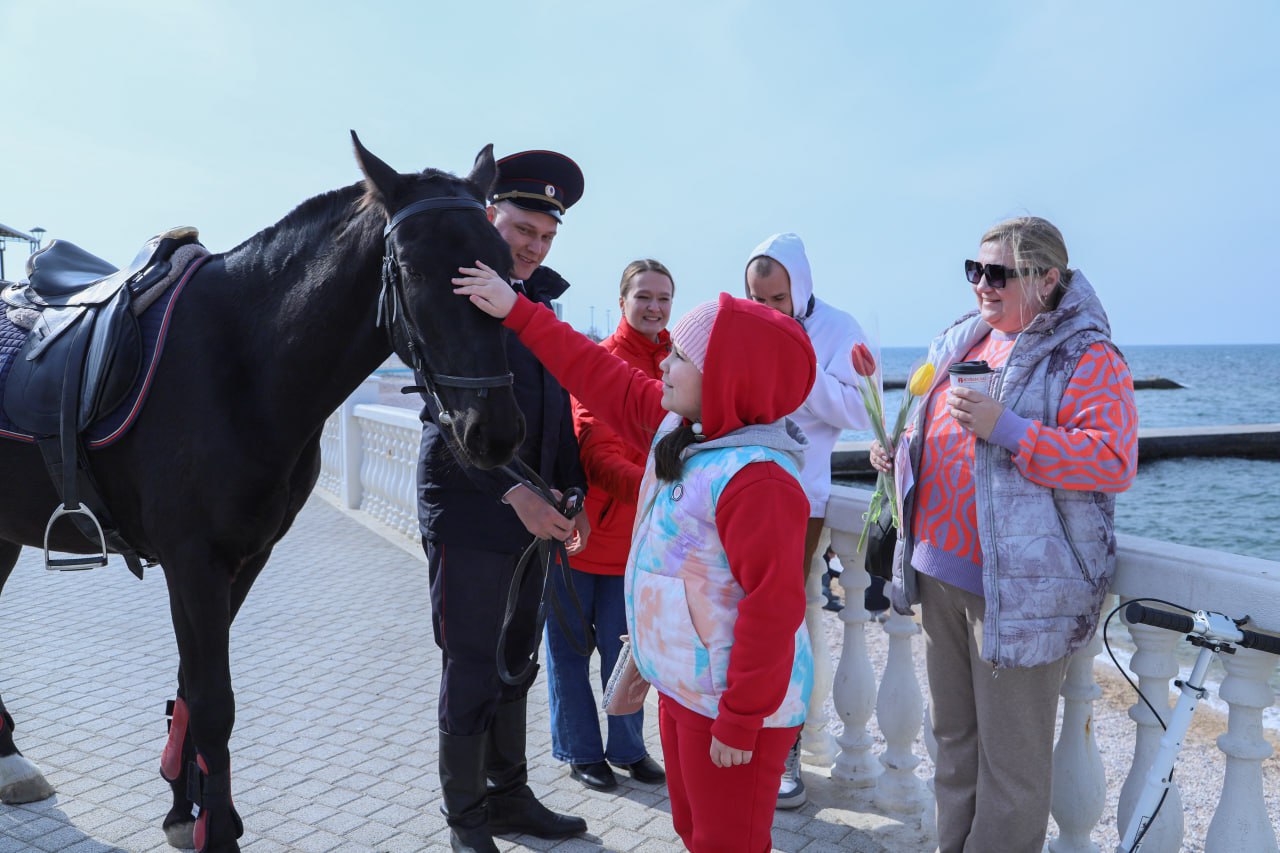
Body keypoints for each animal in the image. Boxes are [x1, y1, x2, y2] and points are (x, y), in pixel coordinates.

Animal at [0, 134, 524, 850]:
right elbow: (214, 701)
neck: (242, 361)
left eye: (503, 266)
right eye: (415, 270)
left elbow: (193, 686)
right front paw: (215, 827)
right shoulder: (193, 561)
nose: (493, 431)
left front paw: (185, 803)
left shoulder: (245, 558)